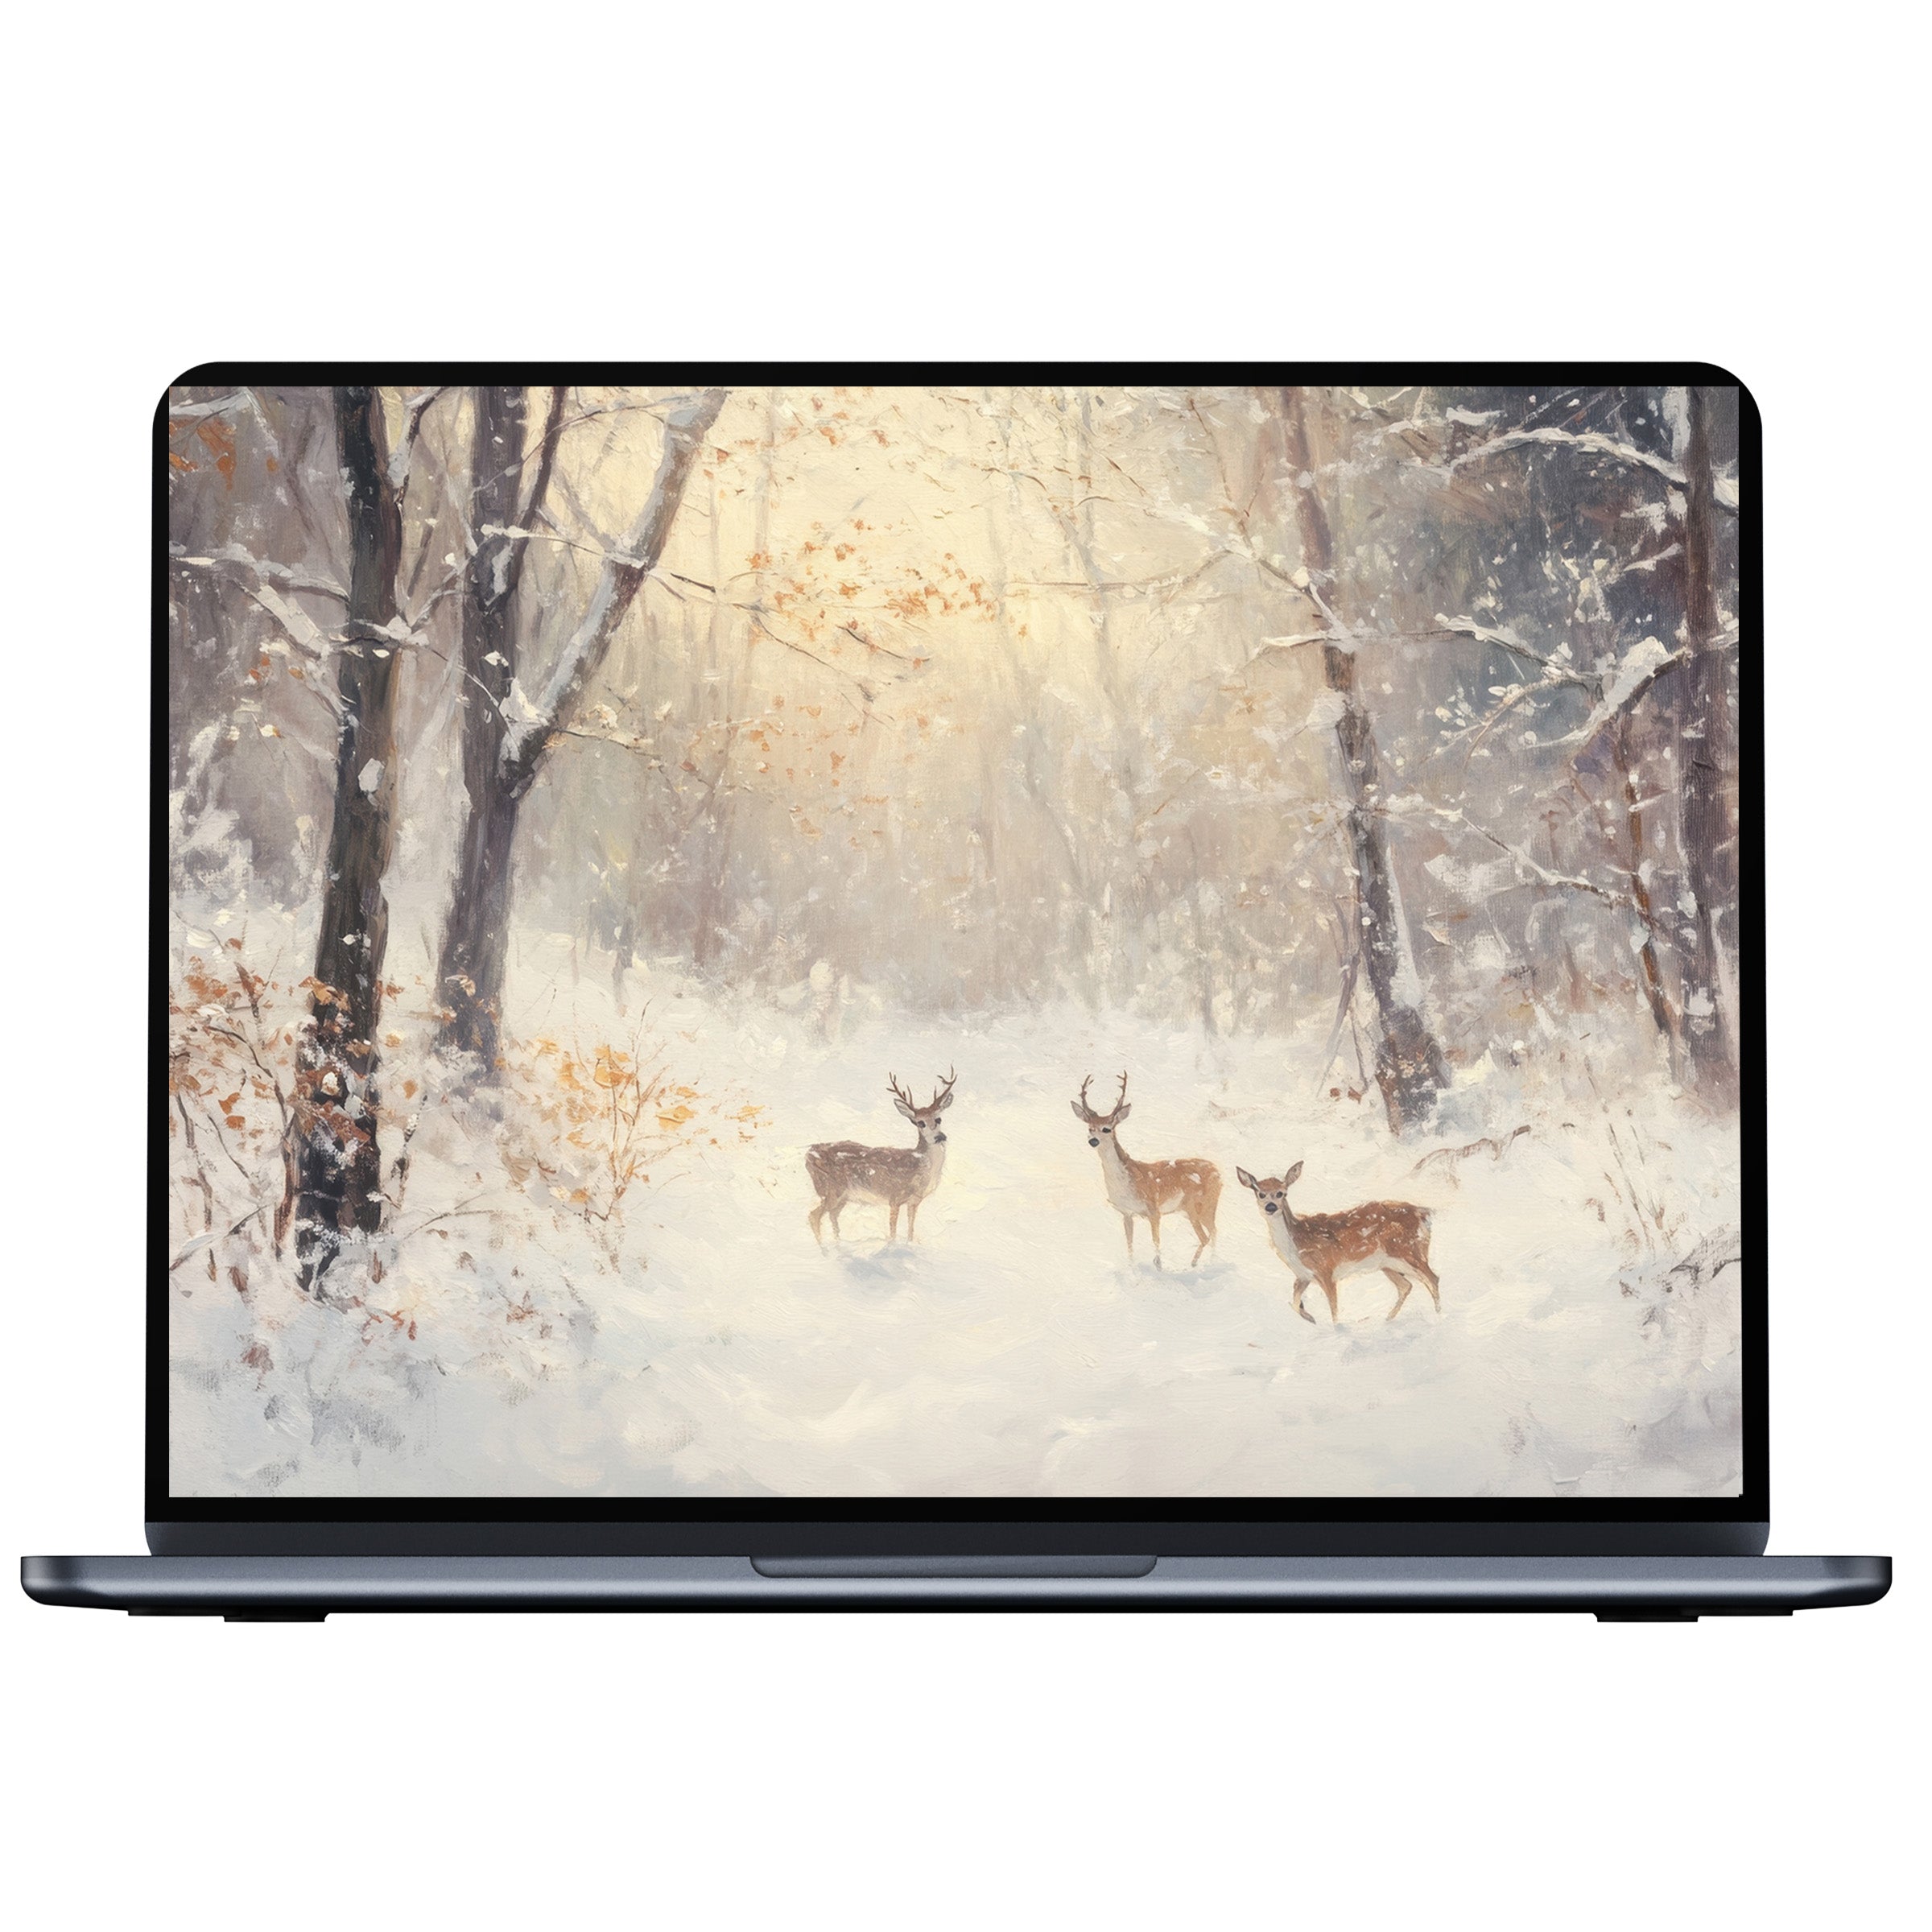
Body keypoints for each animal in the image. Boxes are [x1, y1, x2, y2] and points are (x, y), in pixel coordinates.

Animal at [806, 1068, 956, 1245]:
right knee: (814, 1216)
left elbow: (911, 1229)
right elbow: (893, 1231)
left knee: (832, 1215)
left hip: (843, 1197)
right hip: (831, 1189)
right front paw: (893, 1246)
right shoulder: (895, 1196)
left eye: (939, 1119)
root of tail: (808, 1153)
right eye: (920, 1123)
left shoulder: (914, 1201)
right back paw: (824, 1249)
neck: (922, 1167)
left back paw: (838, 1243)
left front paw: (910, 1244)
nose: (940, 1137)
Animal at [1071, 1072, 1220, 1268]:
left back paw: (1204, 1265)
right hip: (1191, 1210)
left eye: (1107, 1129)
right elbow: (1129, 1244)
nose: (1093, 1141)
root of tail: (1218, 1172)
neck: (1127, 1183)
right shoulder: (1126, 1213)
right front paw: (1131, 1268)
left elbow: (1156, 1241)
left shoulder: (1153, 1209)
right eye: (1090, 1128)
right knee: (1210, 1234)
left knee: (1209, 1235)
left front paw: (1159, 1266)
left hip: (1202, 1205)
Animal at [1235, 1161, 1440, 1324]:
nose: (1271, 1207)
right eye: (1260, 1194)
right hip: (1388, 1264)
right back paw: (1388, 1319)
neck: (1296, 1245)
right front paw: (1310, 1317)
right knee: (1407, 1286)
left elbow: (1334, 1309)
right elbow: (1294, 1302)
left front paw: (1335, 1330)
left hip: (1409, 1250)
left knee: (1432, 1278)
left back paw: (1439, 1317)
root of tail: (1425, 1213)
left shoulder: (1327, 1270)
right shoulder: (1303, 1276)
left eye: (1281, 1193)